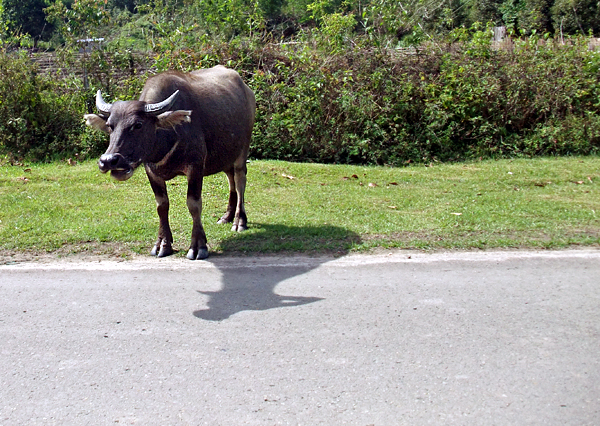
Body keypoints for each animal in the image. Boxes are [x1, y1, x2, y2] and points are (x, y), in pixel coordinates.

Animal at [84, 66, 255, 260]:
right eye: (110, 126)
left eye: (138, 125)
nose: (109, 161)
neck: (168, 136)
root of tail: (247, 91)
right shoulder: (152, 172)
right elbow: (162, 205)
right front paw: (163, 244)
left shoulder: (195, 167)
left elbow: (194, 204)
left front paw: (198, 246)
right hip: (225, 155)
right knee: (230, 179)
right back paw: (227, 216)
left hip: (242, 150)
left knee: (240, 181)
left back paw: (239, 221)